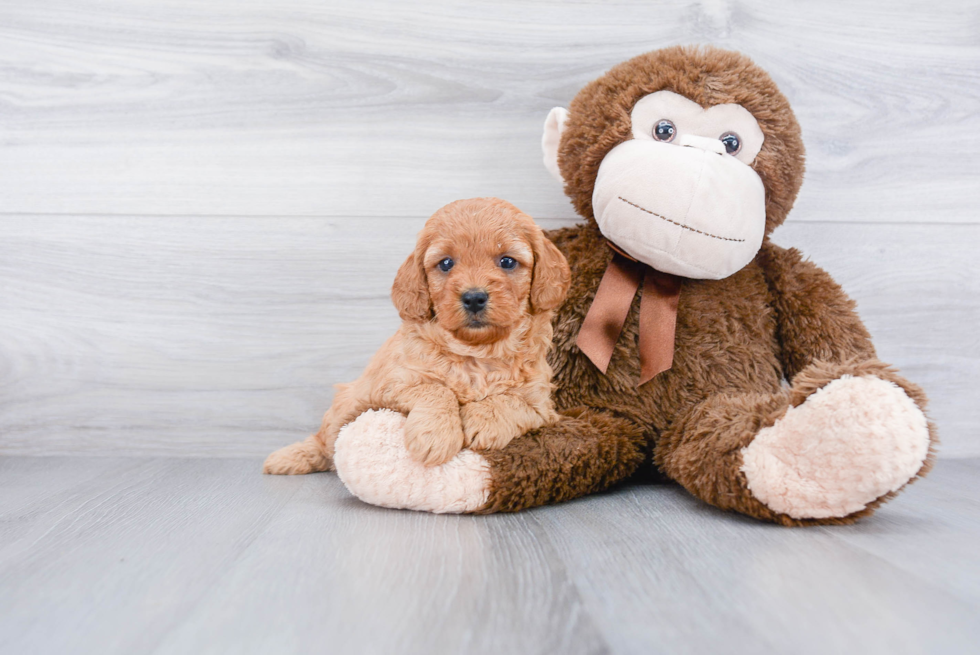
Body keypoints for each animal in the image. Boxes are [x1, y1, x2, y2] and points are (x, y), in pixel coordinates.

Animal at [266, 197, 576, 474]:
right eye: (446, 263)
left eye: (508, 261)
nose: (474, 297)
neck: (478, 353)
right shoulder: (391, 384)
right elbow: (435, 389)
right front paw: (435, 437)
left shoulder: (542, 405)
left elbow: (513, 400)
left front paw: (484, 421)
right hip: (343, 407)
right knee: (322, 444)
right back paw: (287, 459)